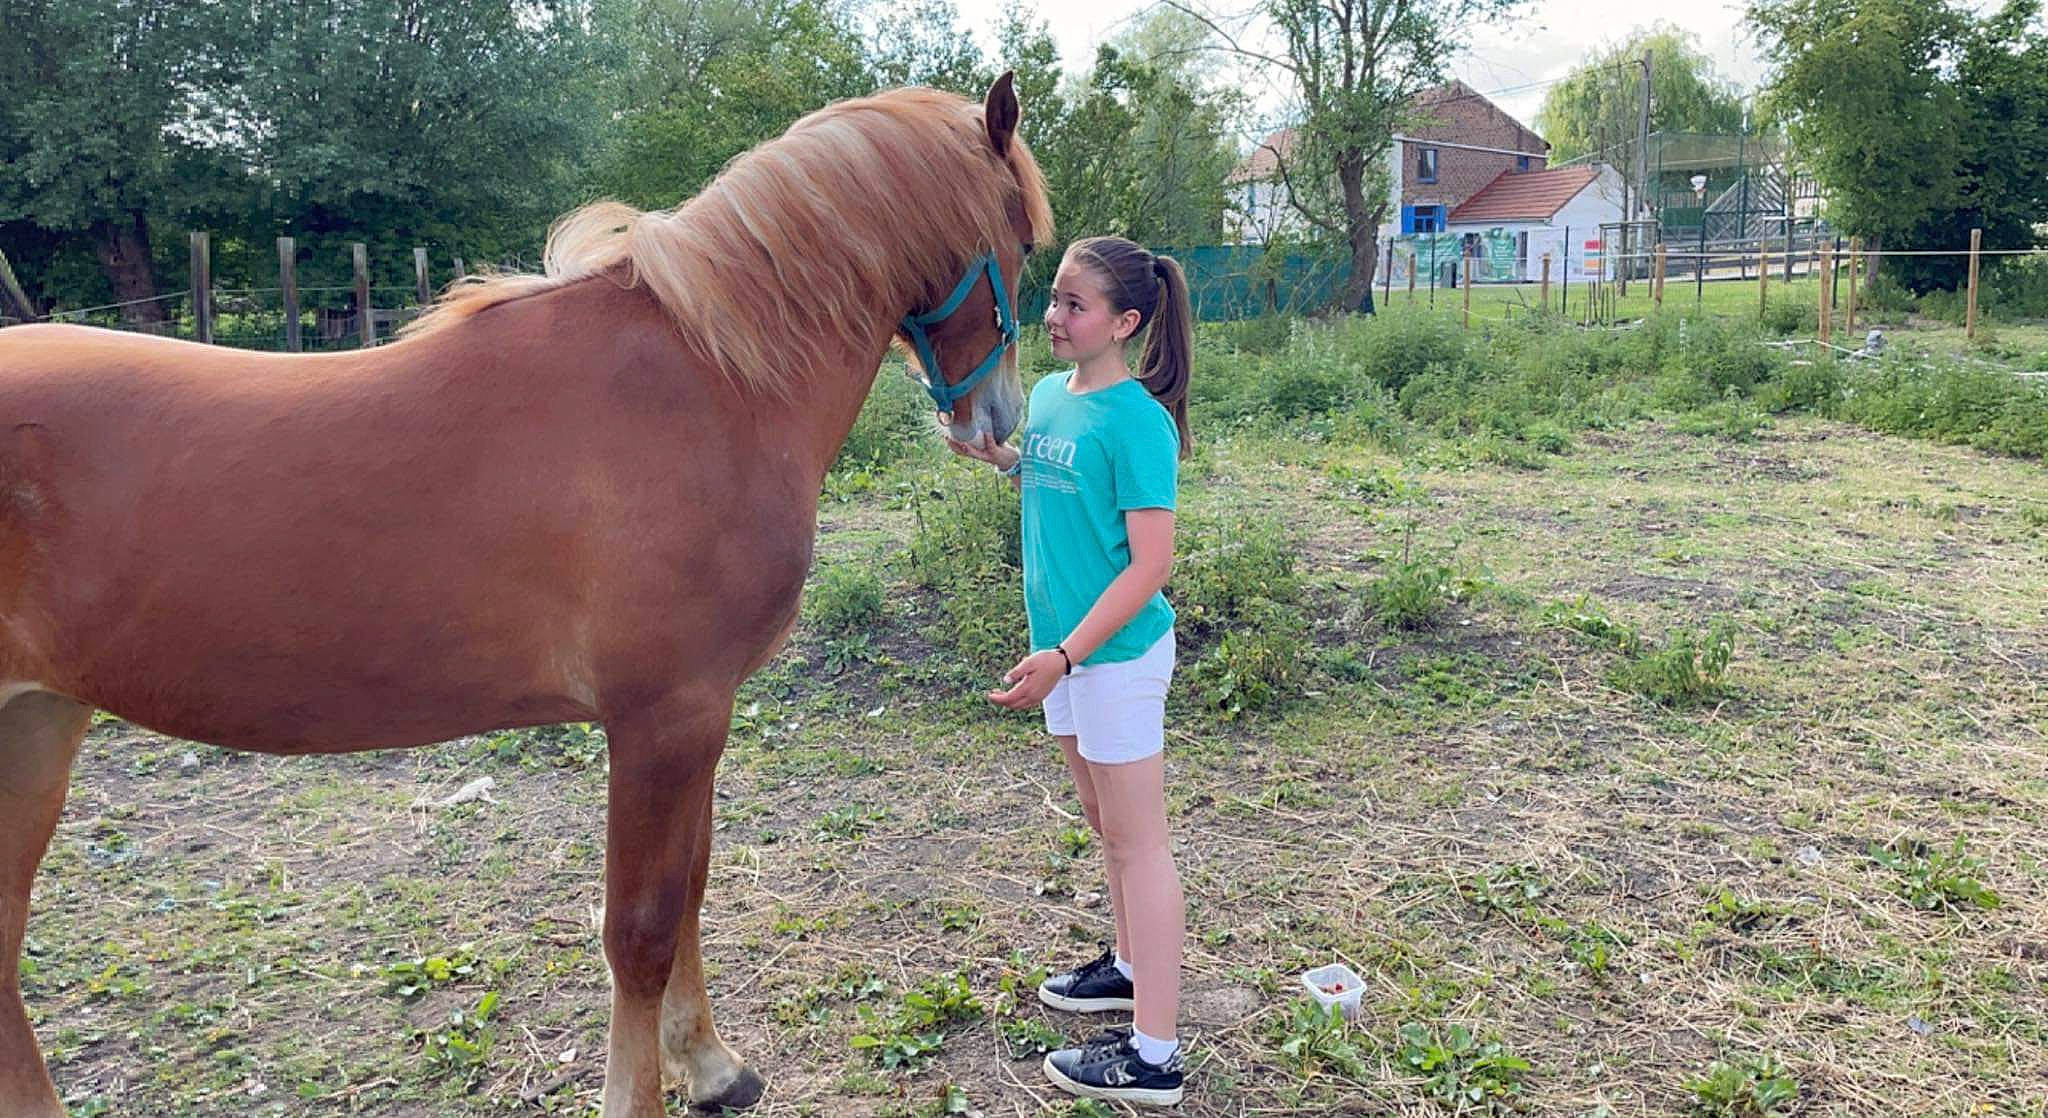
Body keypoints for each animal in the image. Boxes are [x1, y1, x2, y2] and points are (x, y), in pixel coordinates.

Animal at [0, 74, 1052, 1117]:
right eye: (1025, 239)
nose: (999, 419)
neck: (705, 377)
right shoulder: (663, 721)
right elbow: (641, 927)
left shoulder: (699, 719)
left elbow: (691, 889)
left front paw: (711, 1066)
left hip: (37, 729)